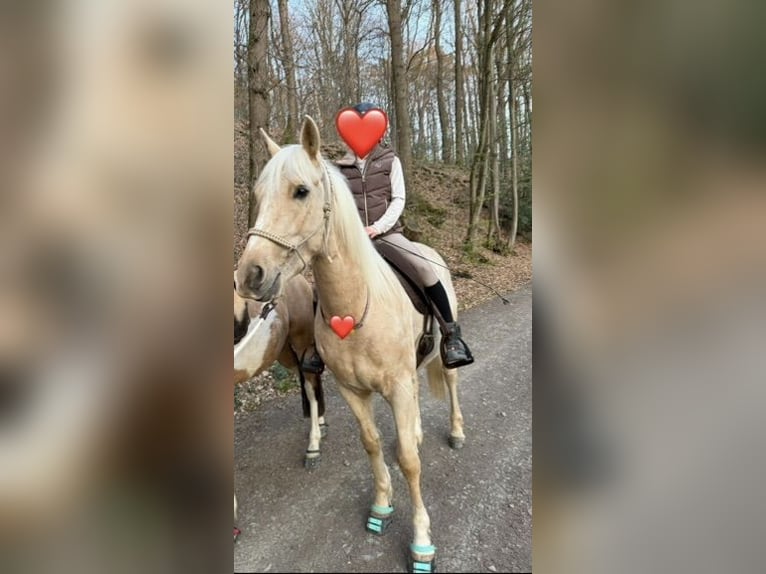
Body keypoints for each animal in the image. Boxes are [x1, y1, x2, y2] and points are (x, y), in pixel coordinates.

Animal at [235, 115, 466, 572]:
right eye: (257, 195)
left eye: (301, 191)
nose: (249, 276)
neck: (356, 303)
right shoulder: (352, 389)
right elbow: (373, 444)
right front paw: (381, 506)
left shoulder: (395, 386)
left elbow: (408, 462)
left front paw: (421, 543)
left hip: (441, 352)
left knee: (449, 383)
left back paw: (455, 431)